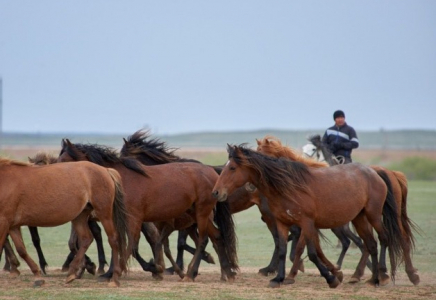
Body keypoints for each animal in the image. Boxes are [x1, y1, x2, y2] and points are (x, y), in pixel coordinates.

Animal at [0, 157, 127, 286]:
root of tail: (106, 170)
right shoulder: (13, 225)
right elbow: (21, 250)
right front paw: (37, 276)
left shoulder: (3, 221)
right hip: (80, 216)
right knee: (86, 239)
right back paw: (72, 272)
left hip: (104, 214)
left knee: (113, 240)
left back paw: (114, 278)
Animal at [57, 138, 238, 282]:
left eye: (65, 160)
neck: (118, 178)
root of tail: (213, 173)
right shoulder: (119, 219)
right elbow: (119, 242)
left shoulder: (134, 219)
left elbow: (131, 245)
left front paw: (132, 271)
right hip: (198, 215)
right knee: (217, 237)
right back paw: (227, 273)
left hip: (202, 213)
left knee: (203, 240)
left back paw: (189, 274)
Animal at [211, 145, 402, 288]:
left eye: (232, 167)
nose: (216, 192)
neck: (288, 187)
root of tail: (374, 172)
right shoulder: (282, 223)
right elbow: (282, 249)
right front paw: (278, 278)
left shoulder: (307, 223)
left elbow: (310, 252)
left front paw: (331, 278)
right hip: (359, 218)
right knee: (370, 244)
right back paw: (371, 278)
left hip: (373, 215)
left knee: (383, 238)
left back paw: (381, 276)